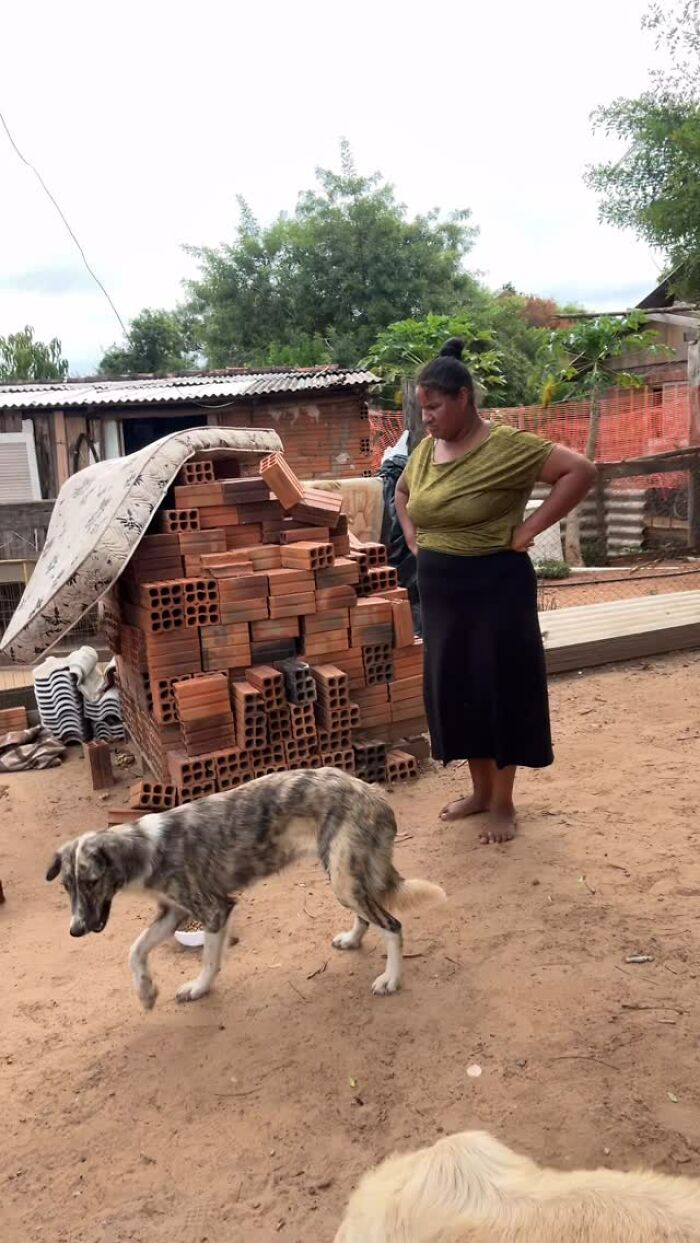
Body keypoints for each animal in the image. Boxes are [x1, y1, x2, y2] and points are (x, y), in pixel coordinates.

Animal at [46, 765, 447, 1009]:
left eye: (91, 882)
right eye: (67, 886)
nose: (75, 930)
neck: (148, 845)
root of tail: (372, 790)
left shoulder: (215, 910)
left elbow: (209, 960)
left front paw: (198, 989)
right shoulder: (172, 913)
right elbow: (135, 951)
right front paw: (145, 993)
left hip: (344, 880)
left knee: (392, 925)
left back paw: (391, 979)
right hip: (341, 875)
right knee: (368, 916)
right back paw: (352, 940)